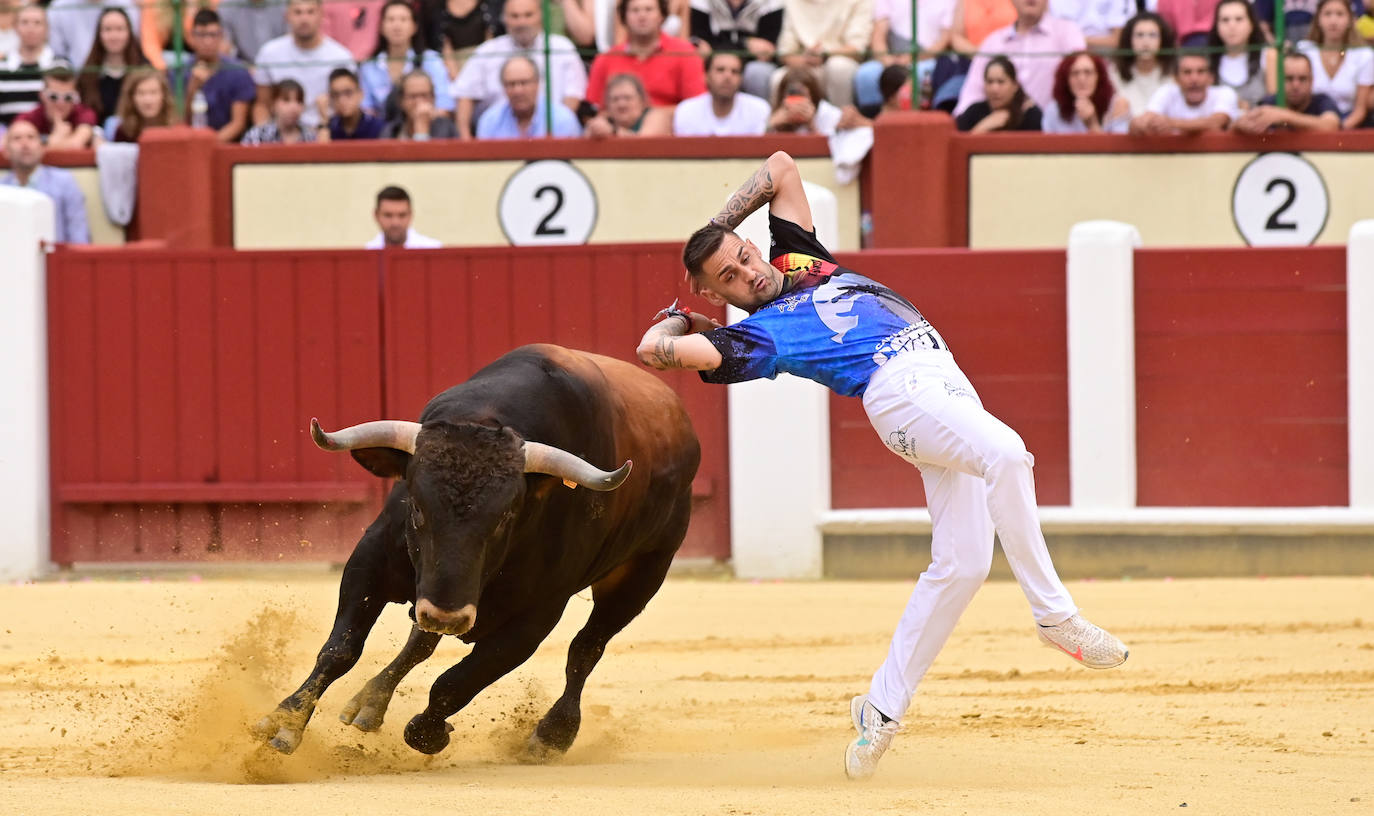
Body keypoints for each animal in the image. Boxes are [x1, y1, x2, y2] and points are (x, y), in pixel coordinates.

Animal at [251, 343, 697, 758]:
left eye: (506, 516)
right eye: (416, 506)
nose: (446, 616)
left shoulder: (536, 618)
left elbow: (457, 682)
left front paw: (430, 732)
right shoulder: (372, 561)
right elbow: (341, 649)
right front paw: (284, 722)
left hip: (643, 573)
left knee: (586, 648)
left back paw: (553, 734)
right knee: (421, 641)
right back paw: (371, 702)